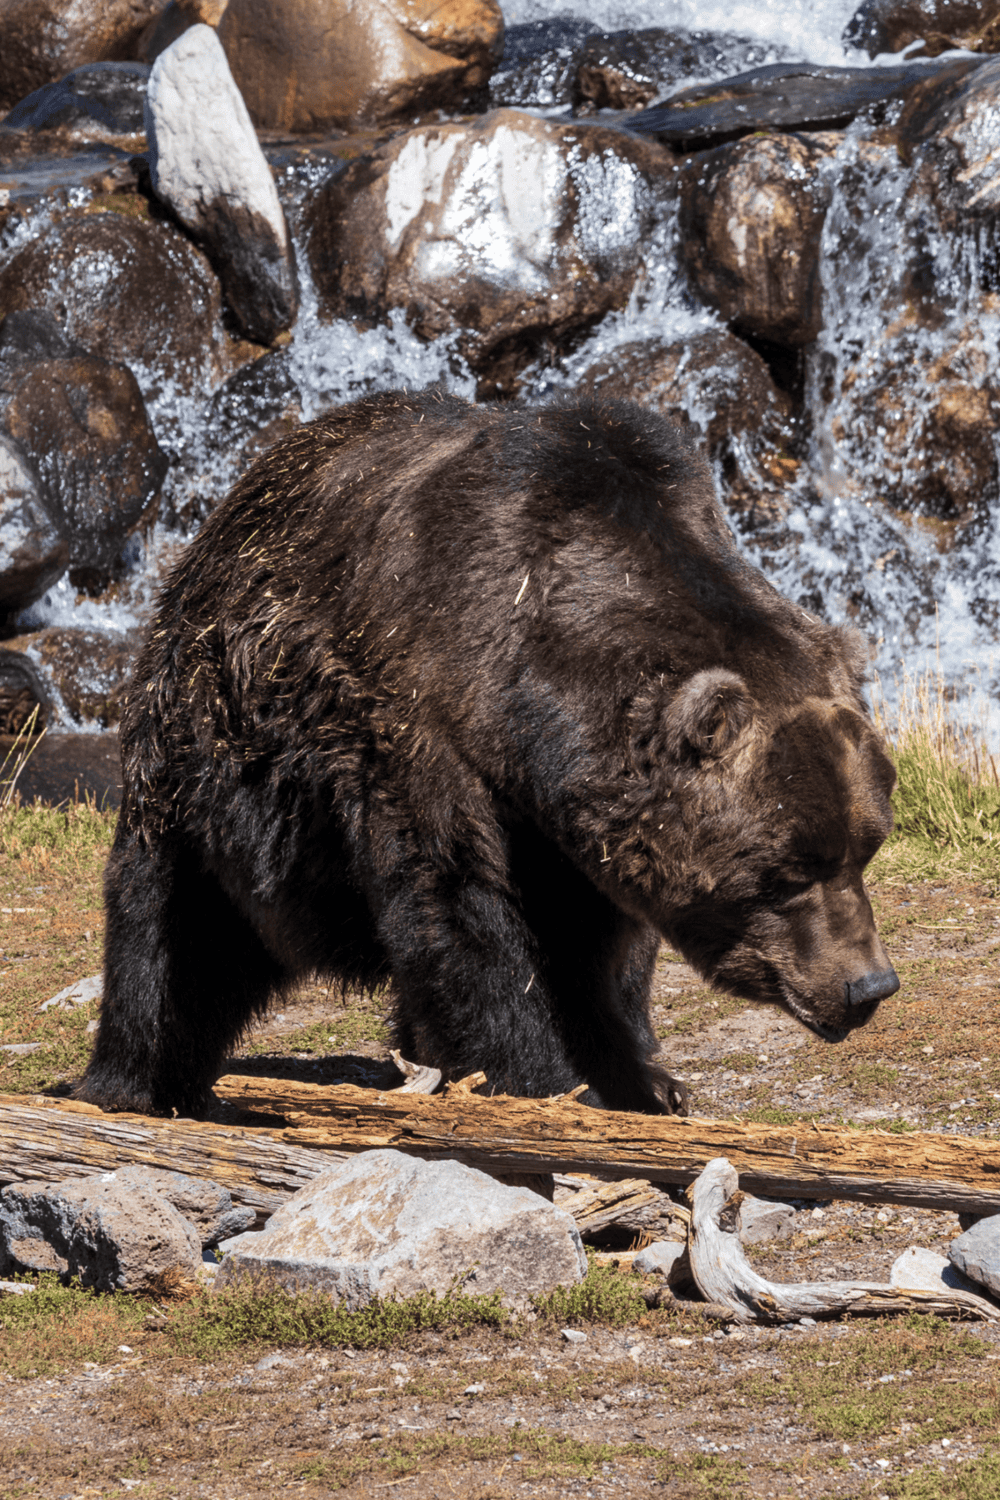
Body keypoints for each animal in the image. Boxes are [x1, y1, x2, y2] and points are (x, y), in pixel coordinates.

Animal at [79, 389, 900, 1119]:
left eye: (865, 846)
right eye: (787, 870)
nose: (866, 987)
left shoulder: (578, 826)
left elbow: (603, 955)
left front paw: (645, 1081)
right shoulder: (423, 727)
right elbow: (467, 915)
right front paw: (545, 1081)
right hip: (208, 744)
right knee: (174, 924)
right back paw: (137, 1082)